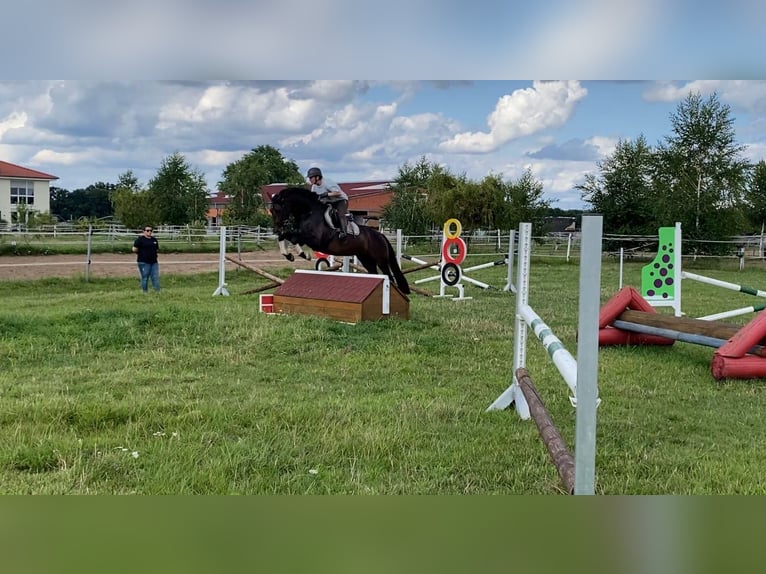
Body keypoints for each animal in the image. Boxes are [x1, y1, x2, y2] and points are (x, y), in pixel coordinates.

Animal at [272, 188, 414, 296]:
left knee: (389, 276)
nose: (275, 229)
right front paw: (290, 255)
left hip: (381, 260)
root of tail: (380, 235)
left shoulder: (315, 239)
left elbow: (291, 237)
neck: (309, 212)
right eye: (271, 211)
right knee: (375, 273)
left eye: (278, 209)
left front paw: (303, 254)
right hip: (366, 260)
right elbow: (285, 236)